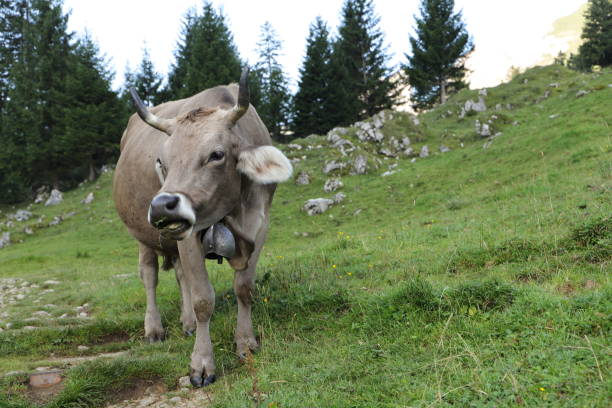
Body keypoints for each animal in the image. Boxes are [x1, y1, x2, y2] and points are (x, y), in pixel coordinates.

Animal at [112, 69, 292, 386]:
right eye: (162, 161)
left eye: (216, 154)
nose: (162, 205)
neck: (234, 211)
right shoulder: (189, 235)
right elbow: (203, 300)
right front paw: (202, 364)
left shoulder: (260, 226)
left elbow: (244, 287)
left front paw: (246, 343)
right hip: (143, 237)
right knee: (149, 276)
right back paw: (154, 329)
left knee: (181, 275)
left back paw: (187, 324)